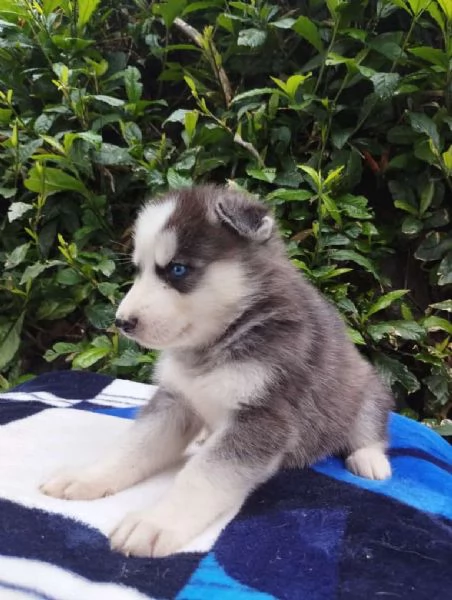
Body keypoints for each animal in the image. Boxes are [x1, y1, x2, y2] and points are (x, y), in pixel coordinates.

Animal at [41, 186, 392, 556]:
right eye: (138, 270)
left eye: (178, 270)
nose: (122, 323)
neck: (218, 340)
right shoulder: (175, 400)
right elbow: (134, 446)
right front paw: (87, 477)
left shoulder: (263, 416)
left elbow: (202, 475)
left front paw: (155, 522)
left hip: (368, 387)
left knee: (370, 428)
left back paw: (370, 459)